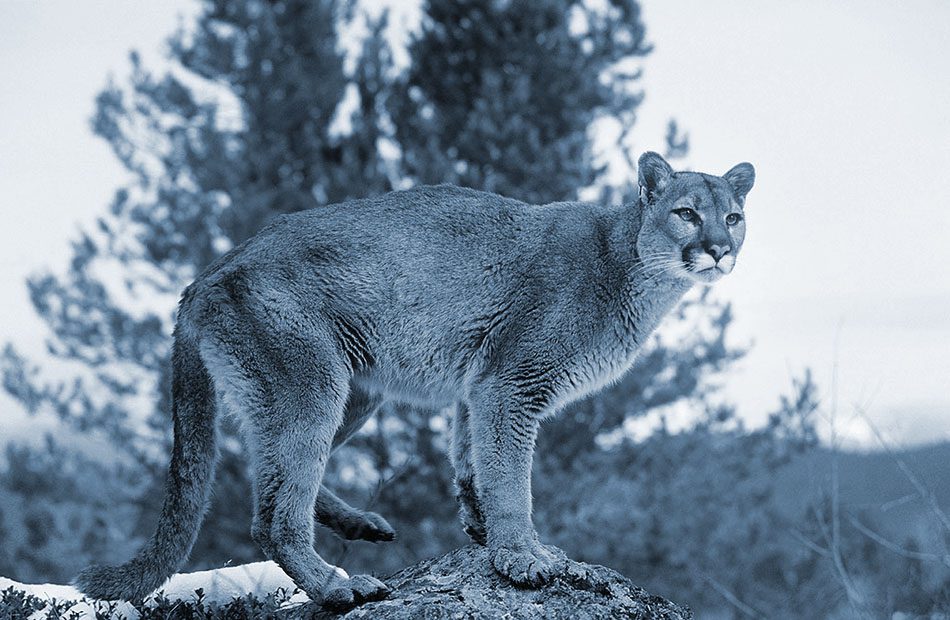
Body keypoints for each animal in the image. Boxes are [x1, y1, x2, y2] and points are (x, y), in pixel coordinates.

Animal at [74, 151, 760, 612]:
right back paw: (337, 587)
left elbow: (474, 460)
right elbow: (512, 477)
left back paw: (359, 526)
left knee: (265, 477)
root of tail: (207, 273)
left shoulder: (480, 386)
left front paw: (487, 534)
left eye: (732, 216)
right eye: (687, 214)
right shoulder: (514, 384)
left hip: (351, 390)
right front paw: (523, 556)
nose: (720, 249)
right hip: (313, 383)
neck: (632, 267)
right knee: (271, 515)